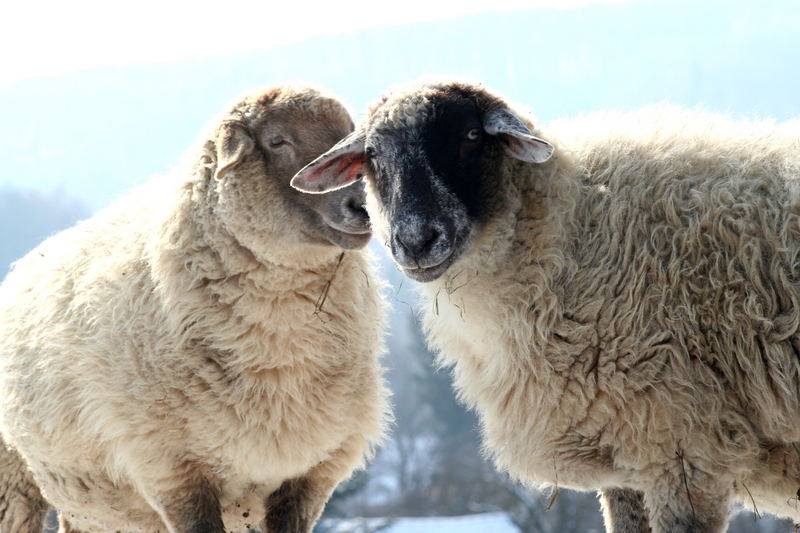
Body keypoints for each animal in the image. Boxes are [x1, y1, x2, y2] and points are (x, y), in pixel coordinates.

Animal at [0, 84, 388, 532]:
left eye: (352, 138)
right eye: (277, 141)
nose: (363, 208)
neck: (278, 351)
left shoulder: (310, 474)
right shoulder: (174, 470)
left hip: (95, 506)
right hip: (16, 482)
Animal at [294, 80, 800, 532]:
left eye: (471, 136)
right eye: (373, 155)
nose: (416, 240)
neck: (572, 239)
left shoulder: (686, 449)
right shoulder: (625, 452)